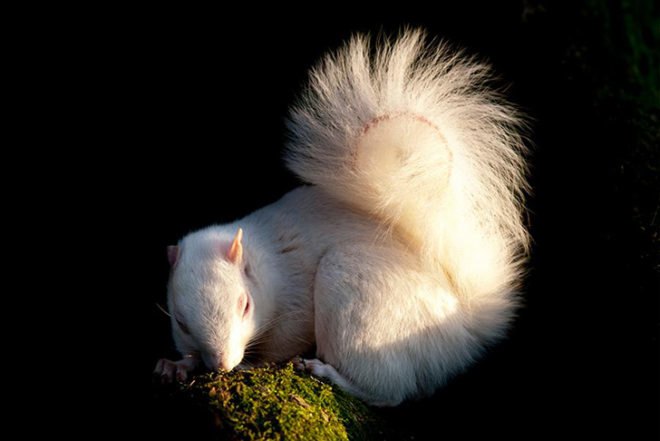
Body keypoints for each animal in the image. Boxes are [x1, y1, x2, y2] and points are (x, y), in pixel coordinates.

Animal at [154, 29, 530, 407]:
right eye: (181, 322)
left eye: (244, 305)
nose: (222, 365)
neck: (264, 263)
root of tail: (465, 328)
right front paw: (179, 364)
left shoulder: (296, 305)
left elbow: (283, 343)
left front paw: (252, 364)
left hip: (358, 296)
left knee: (388, 391)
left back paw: (328, 372)